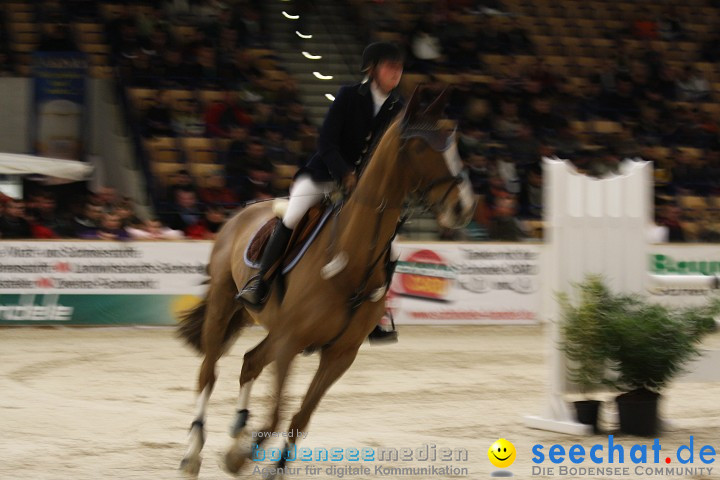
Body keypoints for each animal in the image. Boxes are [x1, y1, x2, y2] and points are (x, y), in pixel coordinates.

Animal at [177, 85, 476, 476]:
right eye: (422, 147)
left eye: (453, 142)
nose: (464, 207)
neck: (351, 261)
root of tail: (241, 212)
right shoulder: (291, 342)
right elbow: (277, 412)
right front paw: (240, 456)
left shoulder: (338, 354)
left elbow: (299, 417)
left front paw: (259, 461)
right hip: (225, 305)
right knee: (208, 372)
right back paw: (193, 450)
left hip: (269, 327)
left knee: (250, 362)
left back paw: (238, 428)